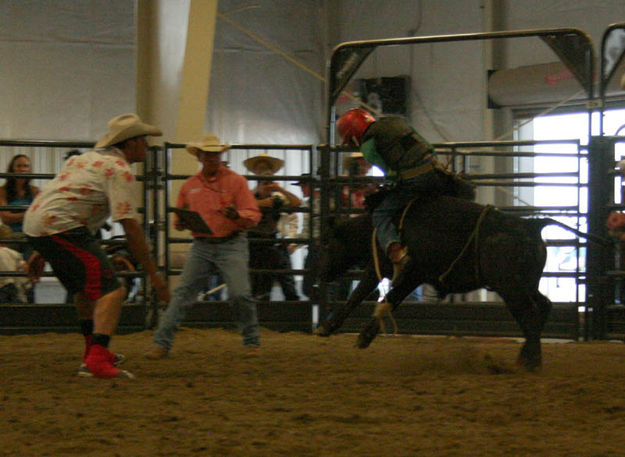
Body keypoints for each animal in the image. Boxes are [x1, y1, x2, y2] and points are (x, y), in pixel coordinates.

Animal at [316, 195, 596, 370]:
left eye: (328, 242)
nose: (321, 272)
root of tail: (531, 225)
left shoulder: (404, 273)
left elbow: (365, 295)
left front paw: (337, 330)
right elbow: (385, 300)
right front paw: (359, 335)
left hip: (511, 286)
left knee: (529, 315)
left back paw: (531, 364)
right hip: (526, 283)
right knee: (543, 307)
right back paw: (524, 358)